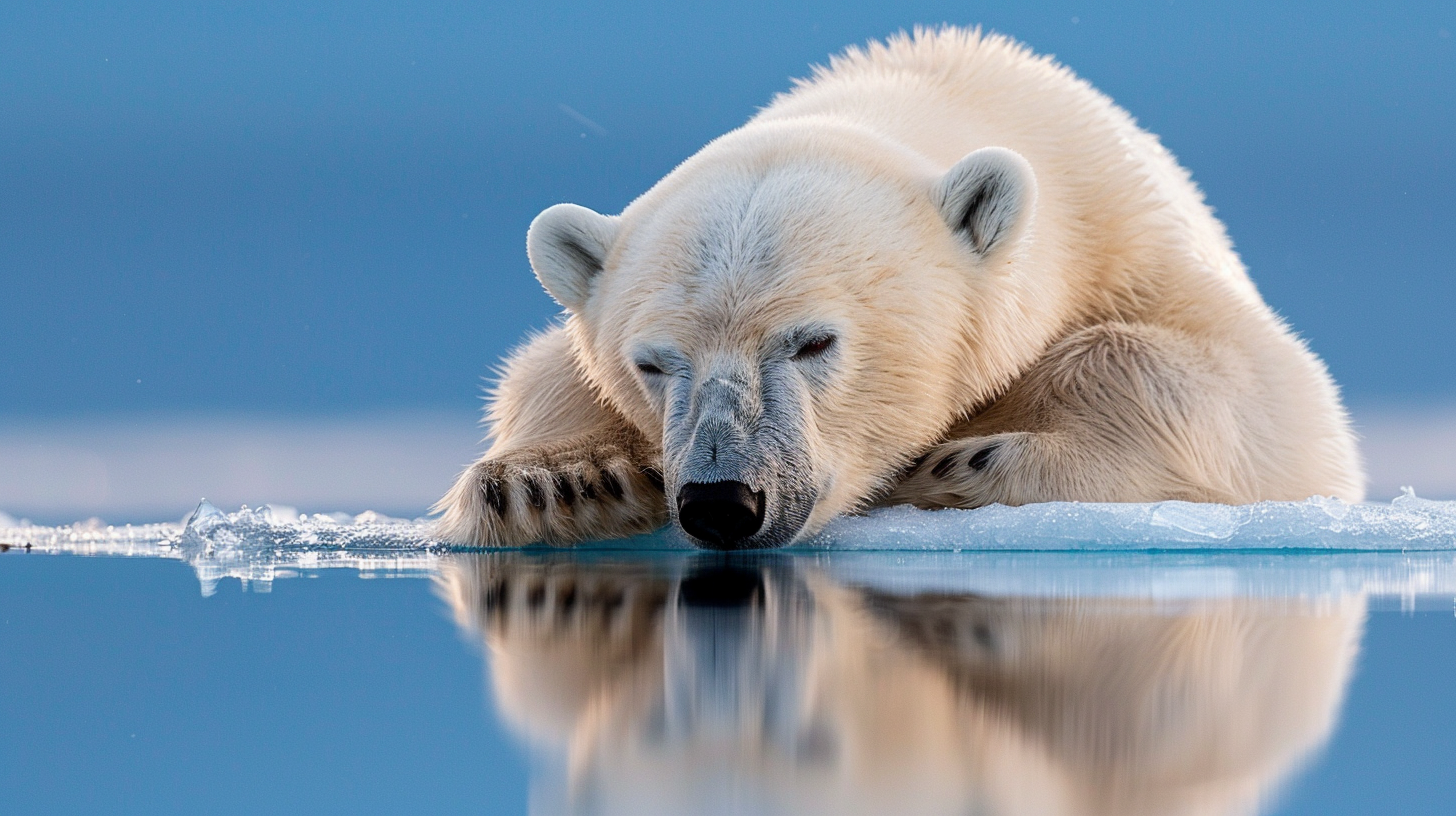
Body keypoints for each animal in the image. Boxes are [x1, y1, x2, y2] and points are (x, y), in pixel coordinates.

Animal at [430, 27, 1362, 547]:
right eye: (653, 363)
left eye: (814, 341)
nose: (724, 500)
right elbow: (544, 368)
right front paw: (557, 483)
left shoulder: (1135, 245)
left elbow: (1275, 398)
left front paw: (975, 459)